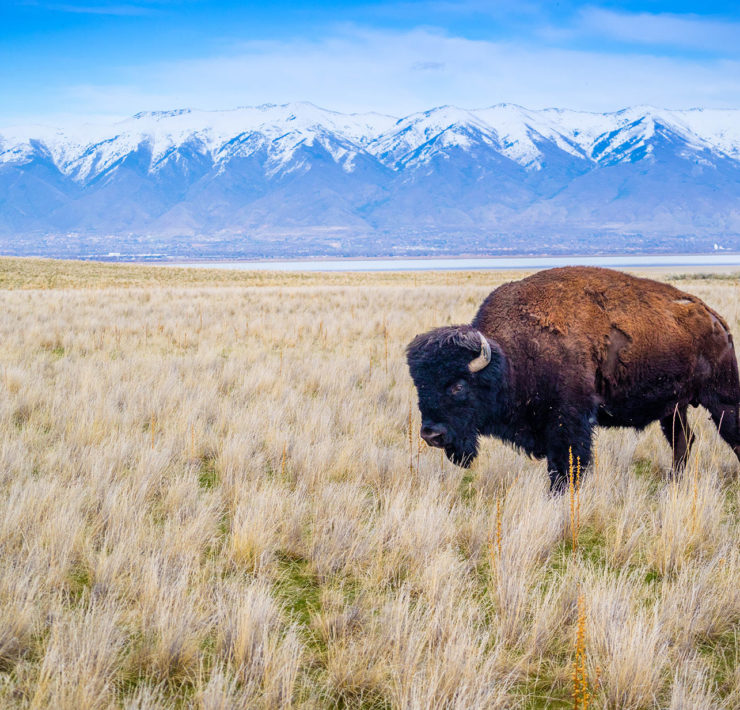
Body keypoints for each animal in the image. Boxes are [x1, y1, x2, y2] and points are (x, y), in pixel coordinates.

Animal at [404, 264, 740, 492]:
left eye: (458, 385)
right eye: (421, 387)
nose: (431, 435)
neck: (510, 357)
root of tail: (715, 319)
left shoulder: (569, 422)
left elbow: (567, 467)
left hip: (721, 399)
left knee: (728, 435)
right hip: (674, 408)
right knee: (683, 440)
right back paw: (674, 482)